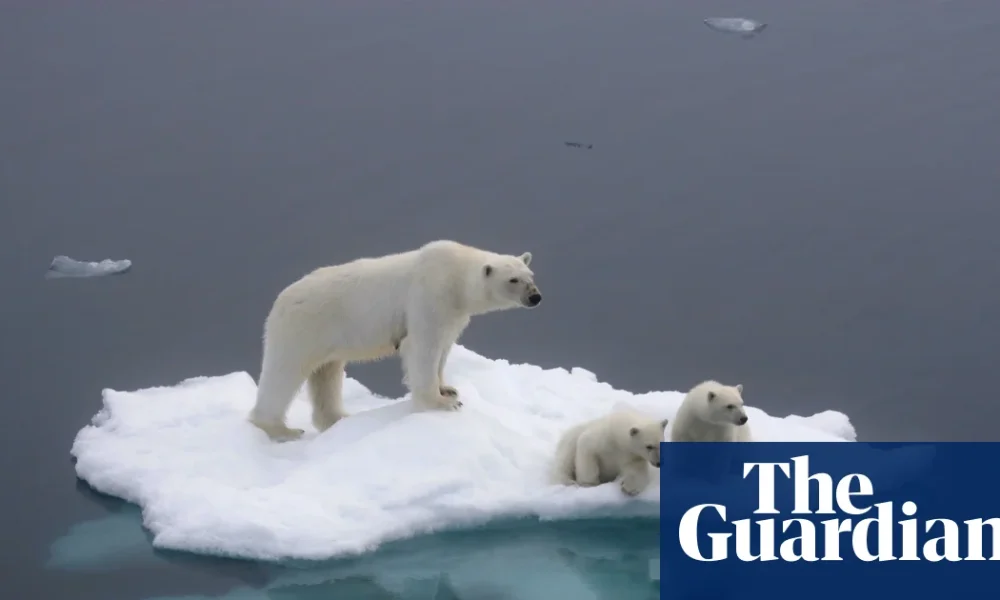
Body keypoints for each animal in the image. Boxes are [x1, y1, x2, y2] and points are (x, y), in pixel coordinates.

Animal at [248, 240, 543, 442]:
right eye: (513, 279)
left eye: (531, 276)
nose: (535, 297)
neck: (456, 275)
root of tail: (280, 300)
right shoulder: (429, 295)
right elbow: (423, 346)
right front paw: (442, 403)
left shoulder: (454, 313)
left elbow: (444, 346)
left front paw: (448, 389)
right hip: (303, 327)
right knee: (284, 372)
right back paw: (281, 429)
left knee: (326, 374)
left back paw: (339, 418)